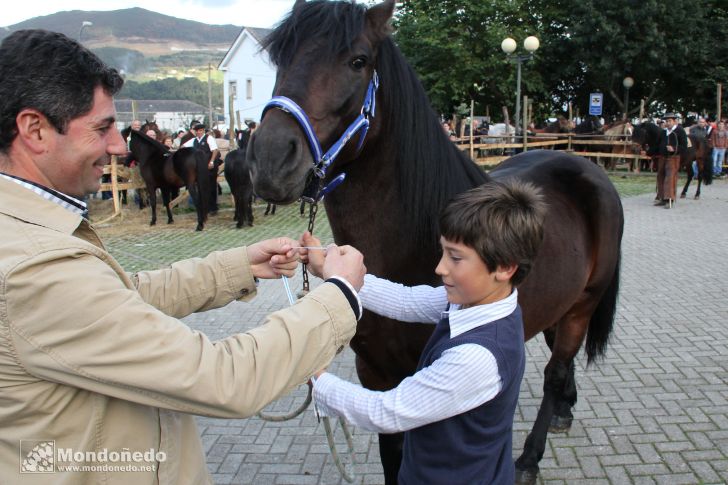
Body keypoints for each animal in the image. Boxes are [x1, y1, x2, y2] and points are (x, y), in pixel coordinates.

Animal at [247, 1, 624, 482]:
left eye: (358, 61)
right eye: (280, 59)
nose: (270, 159)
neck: (415, 238)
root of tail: (586, 166)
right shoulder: (376, 373)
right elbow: (392, 454)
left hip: (582, 305)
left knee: (556, 371)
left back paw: (530, 457)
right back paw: (564, 412)